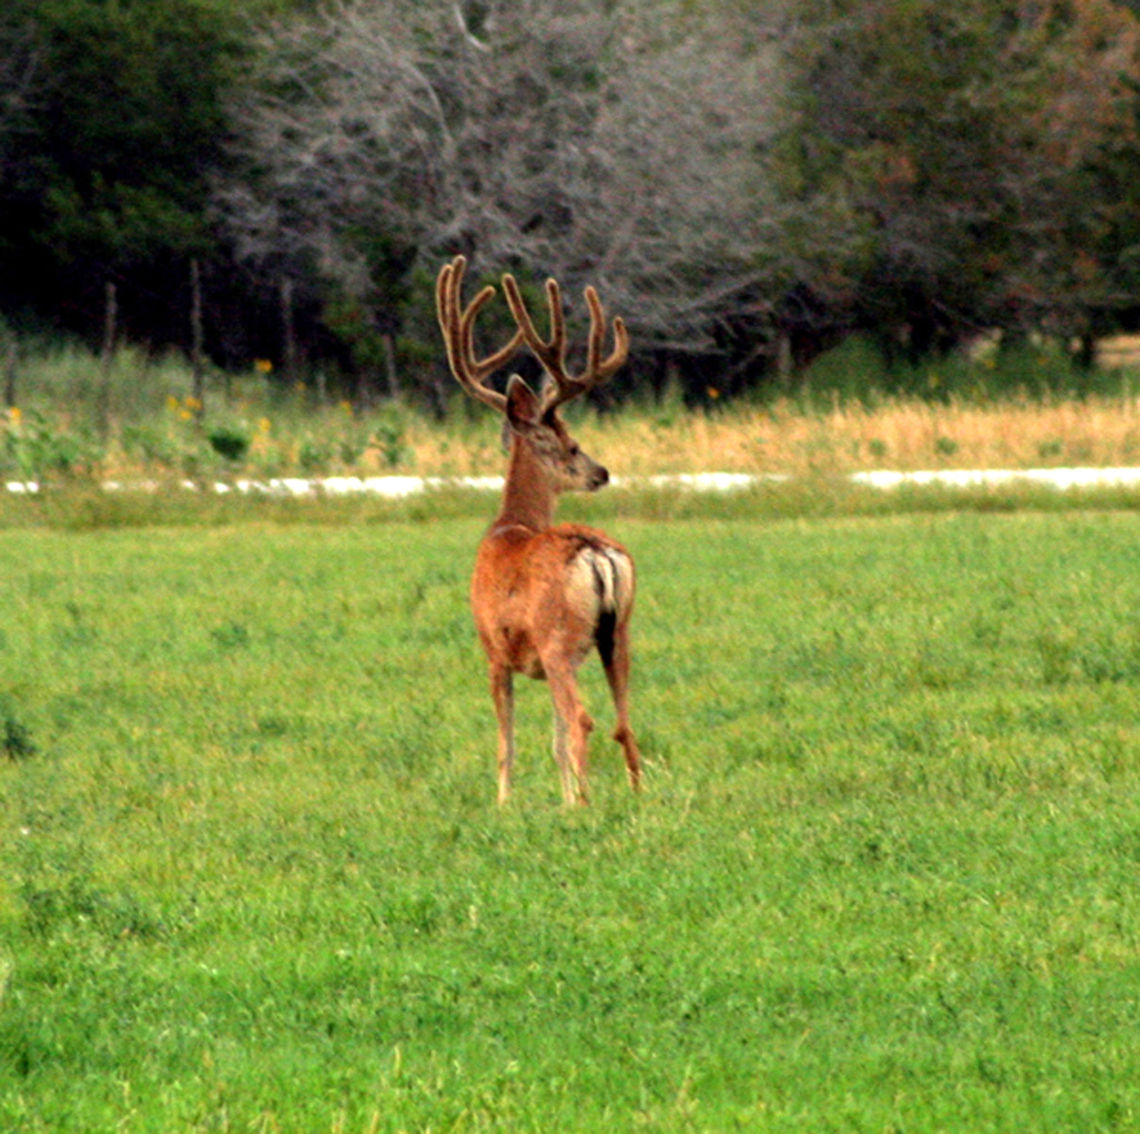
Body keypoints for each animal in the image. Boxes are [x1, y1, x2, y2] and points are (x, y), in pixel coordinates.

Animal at [436, 255, 643, 806]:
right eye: (573, 446)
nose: (602, 472)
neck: (509, 525)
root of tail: (595, 553)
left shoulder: (493, 650)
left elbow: (506, 741)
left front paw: (504, 804)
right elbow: (550, 741)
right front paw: (561, 799)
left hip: (558, 639)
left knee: (584, 721)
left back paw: (588, 807)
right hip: (616, 632)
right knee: (622, 721)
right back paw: (635, 797)